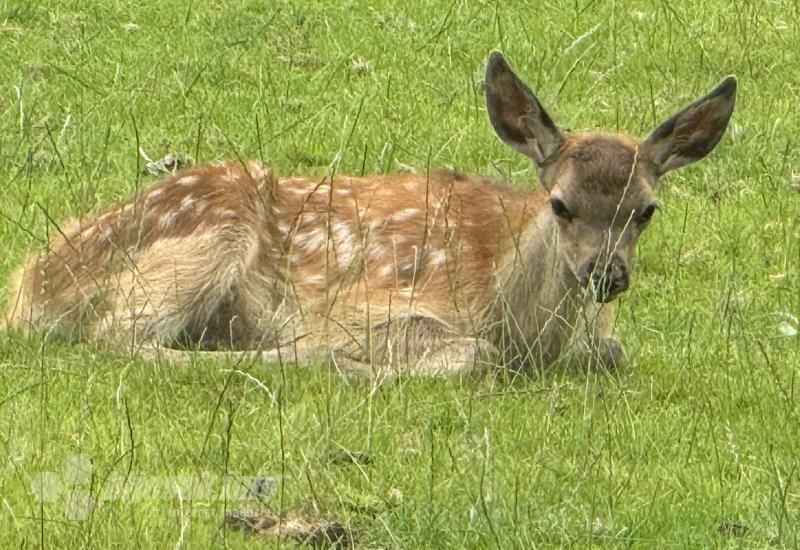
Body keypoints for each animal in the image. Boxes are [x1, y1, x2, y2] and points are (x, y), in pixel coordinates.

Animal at [1, 52, 736, 380]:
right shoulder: (371, 302)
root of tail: (30, 285)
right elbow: (468, 353)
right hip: (207, 236)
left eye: (646, 211)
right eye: (560, 204)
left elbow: (612, 348)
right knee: (119, 337)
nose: (606, 275)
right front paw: (354, 359)